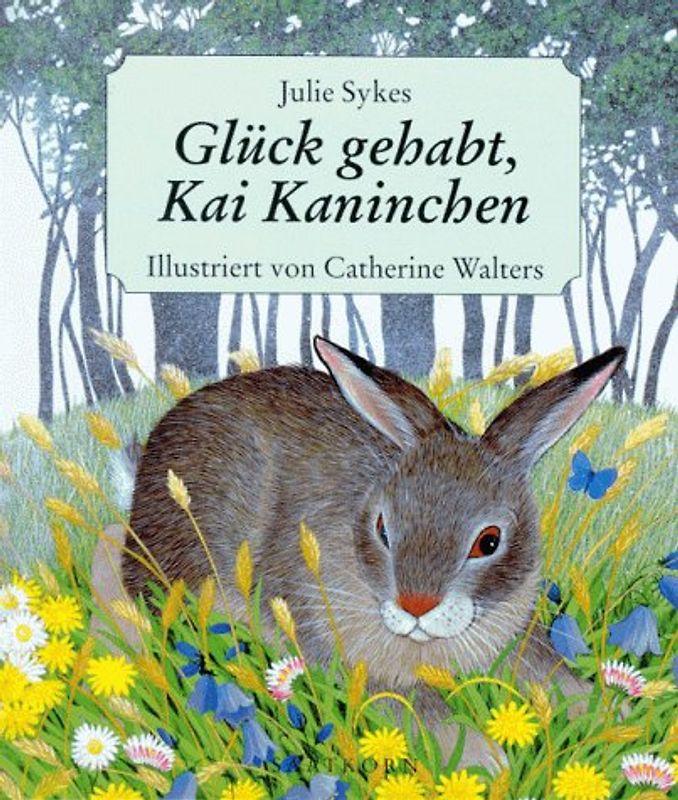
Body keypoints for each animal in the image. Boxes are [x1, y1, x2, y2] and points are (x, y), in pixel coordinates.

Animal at [119, 336, 625, 768]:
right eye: (382, 528)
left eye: (490, 541)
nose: (416, 605)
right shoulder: (340, 647)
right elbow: (419, 706)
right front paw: (484, 759)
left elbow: (547, 668)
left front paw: (604, 711)